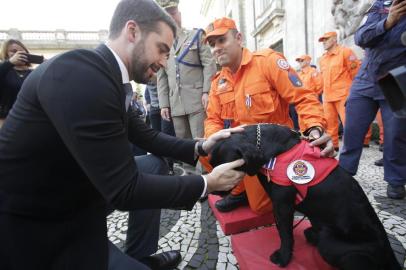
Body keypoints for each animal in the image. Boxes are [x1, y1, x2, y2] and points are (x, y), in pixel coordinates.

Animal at [211, 124, 402, 270]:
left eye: (229, 170)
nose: (214, 191)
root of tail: (390, 256)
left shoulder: (283, 205)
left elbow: (285, 234)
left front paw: (283, 257)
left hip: (332, 242)